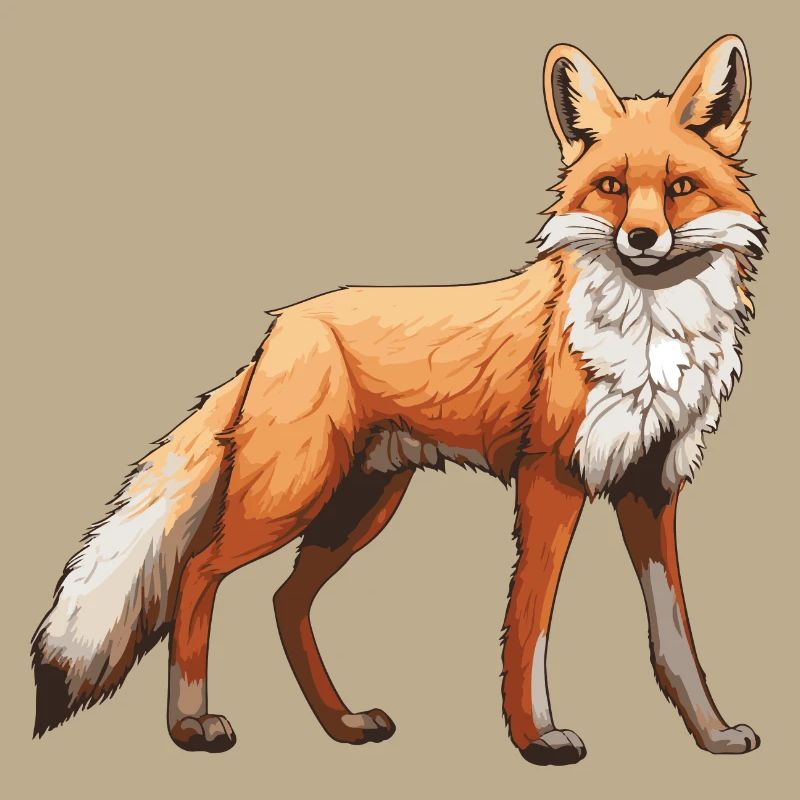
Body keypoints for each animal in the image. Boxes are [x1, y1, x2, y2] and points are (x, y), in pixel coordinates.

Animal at [32, 35, 766, 765]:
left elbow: (675, 639)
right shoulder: (551, 477)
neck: (651, 336)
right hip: (288, 497)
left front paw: (713, 734)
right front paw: (535, 737)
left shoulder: (651, 486)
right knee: (197, 572)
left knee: (284, 600)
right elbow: (531, 624)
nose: (641, 239)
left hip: (361, 505)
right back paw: (190, 723)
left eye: (679, 188)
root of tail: (282, 325)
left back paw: (342, 723)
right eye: (612, 187)